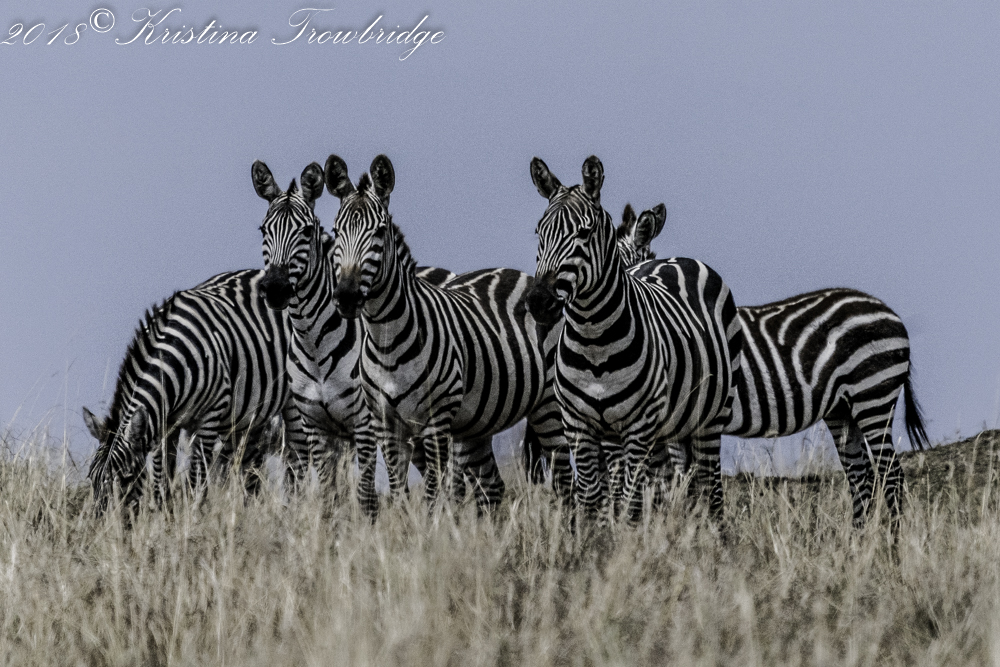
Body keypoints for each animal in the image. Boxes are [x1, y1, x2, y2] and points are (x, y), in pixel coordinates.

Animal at [84, 269, 293, 514]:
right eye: (91, 478)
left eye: (126, 478)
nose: (103, 520)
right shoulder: (164, 425)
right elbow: (161, 480)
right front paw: (164, 517)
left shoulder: (210, 417)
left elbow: (195, 481)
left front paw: (192, 517)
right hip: (248, 417)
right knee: (250, 471)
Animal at [251, 160, 463, 516]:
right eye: (264, 230)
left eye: (305, 232)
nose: (275, 288)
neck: (314, 343)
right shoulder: (316, 427)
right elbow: (328, 497)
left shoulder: (363, 424)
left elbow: (365, 496)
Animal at [324, 153, 574, 512]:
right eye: (336, 231)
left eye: (380, 232)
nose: (346, 296)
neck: (386, 338)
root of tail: (524, 276)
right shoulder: (386, 424)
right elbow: (399, 494)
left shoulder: (436, 421)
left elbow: (432, 496)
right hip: (477, 423)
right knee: (493, 488)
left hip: (548, 406)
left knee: (565, 483)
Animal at [526, 156, 743, 521]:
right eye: (539, 232)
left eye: (584, 232)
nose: (539, 301)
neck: (593, 341)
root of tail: (679, 259)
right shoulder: (579, 426)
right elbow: (594, 501)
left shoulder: (638, 428)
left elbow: (629, 502)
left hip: (710, 419)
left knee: (710, 491)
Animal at [613, 203, 930, 527]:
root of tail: (888, 310)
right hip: (842, 409)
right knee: (861, 475)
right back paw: (858, 537)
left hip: (873, 396)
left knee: (891, 474)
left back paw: (890, 539)